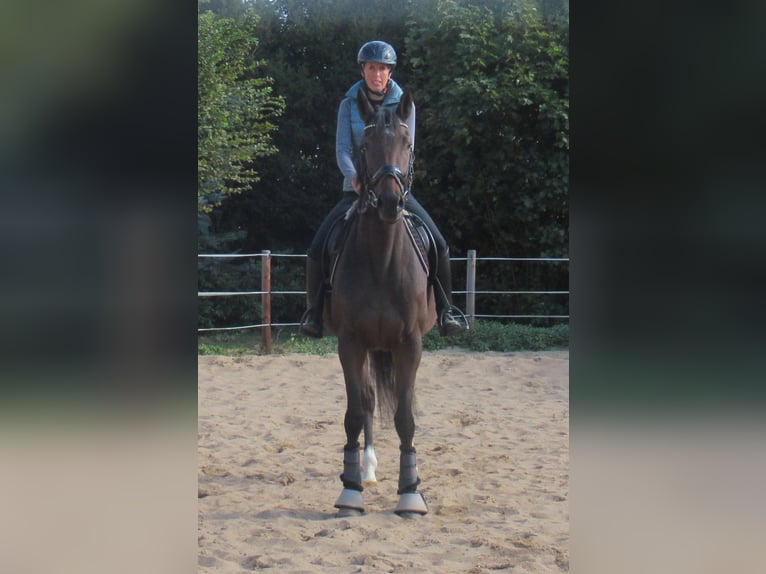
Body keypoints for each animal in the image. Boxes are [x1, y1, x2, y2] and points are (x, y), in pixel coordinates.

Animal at [323, 88, 436, 516]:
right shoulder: (350, 342)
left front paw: (411, 493)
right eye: (366, 145)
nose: (389, 202)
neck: (382, 258)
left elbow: (406, 418)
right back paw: (368, 469)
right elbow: (355, 412)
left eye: (407, 142)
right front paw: (350, 489)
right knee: (369, 401)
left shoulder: (410, 343)